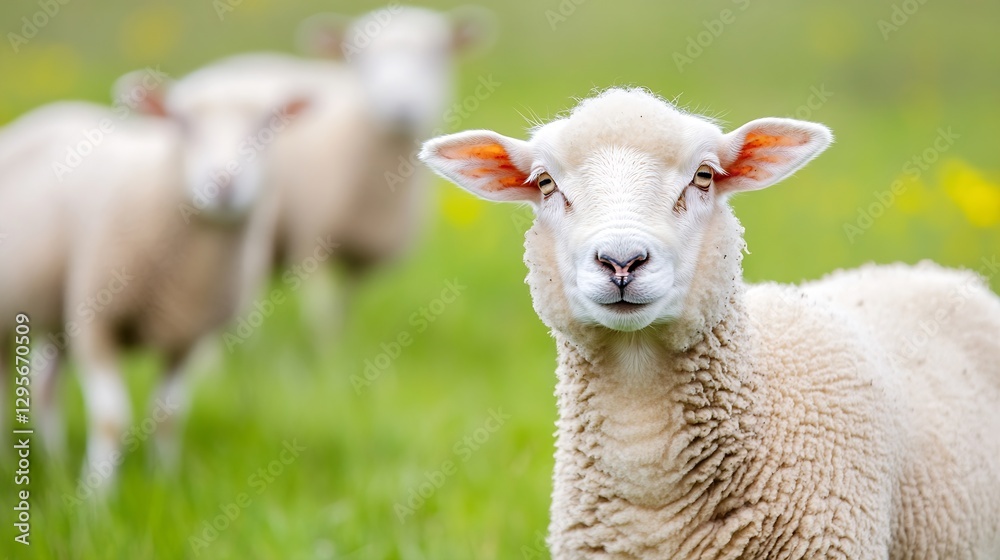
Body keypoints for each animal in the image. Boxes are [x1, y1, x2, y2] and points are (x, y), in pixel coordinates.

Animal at [0, 63, 315, 488]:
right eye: (183, 124)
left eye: (267, 126)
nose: (225, 182)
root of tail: (48, 113)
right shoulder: (96, 320)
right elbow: (111, 419)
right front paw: (96, 494)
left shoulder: (187, 337)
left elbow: (168, 415)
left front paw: (164, 480)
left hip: (58, 314)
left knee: (44, 386)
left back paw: (53, 460)